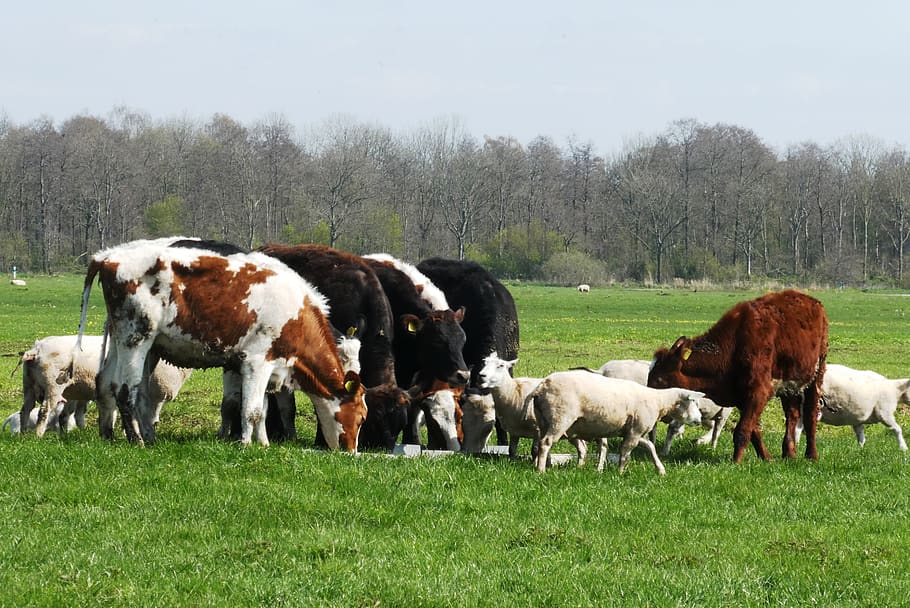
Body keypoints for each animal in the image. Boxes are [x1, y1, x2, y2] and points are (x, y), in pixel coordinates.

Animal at [17, 335, 192, 437]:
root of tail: (36, 349)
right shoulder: (156, 394)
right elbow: (150, 418)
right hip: (53, 385)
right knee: (44, 410)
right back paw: (38, 435)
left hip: (30, 385)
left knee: (26, 410)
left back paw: (24, 434)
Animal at [78, 237, 366, 450]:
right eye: (361, 416)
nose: (351, 452)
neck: (296, 312)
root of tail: (107, 257)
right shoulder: (256, 361)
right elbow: (251, 409)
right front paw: (246, 444)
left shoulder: (267, 366)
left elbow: (262, 409)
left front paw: (263, 443)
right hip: (136, 338)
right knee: (127, 390)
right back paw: (137, 440)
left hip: (125, 341)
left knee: (112, 385)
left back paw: (115, 435)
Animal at [531, 370, 703, 474]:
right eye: (693, 401)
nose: (699, 419)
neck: (658, 401)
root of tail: (542, 387)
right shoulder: (635, 431)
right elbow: (625, 452)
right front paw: (620, 472)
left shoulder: (633, 431)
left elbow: (650, 446)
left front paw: (660, 469)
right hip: (560, 418)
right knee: (546, 442)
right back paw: (541, 471)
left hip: (545, 421)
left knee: (540, 443)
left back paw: (543, 466)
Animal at [647, 289, 828, 463]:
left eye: (659, 379)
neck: (733, 346)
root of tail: (814, 303)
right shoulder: (741, 396)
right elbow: (753, 430)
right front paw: (766, 457)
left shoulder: (758, 391)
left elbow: (742, 430)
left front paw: (737, 461)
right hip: (789, 385)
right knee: (792, 414)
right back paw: (789, 453)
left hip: (816, 374)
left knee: (810, 415)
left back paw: (811, 455)